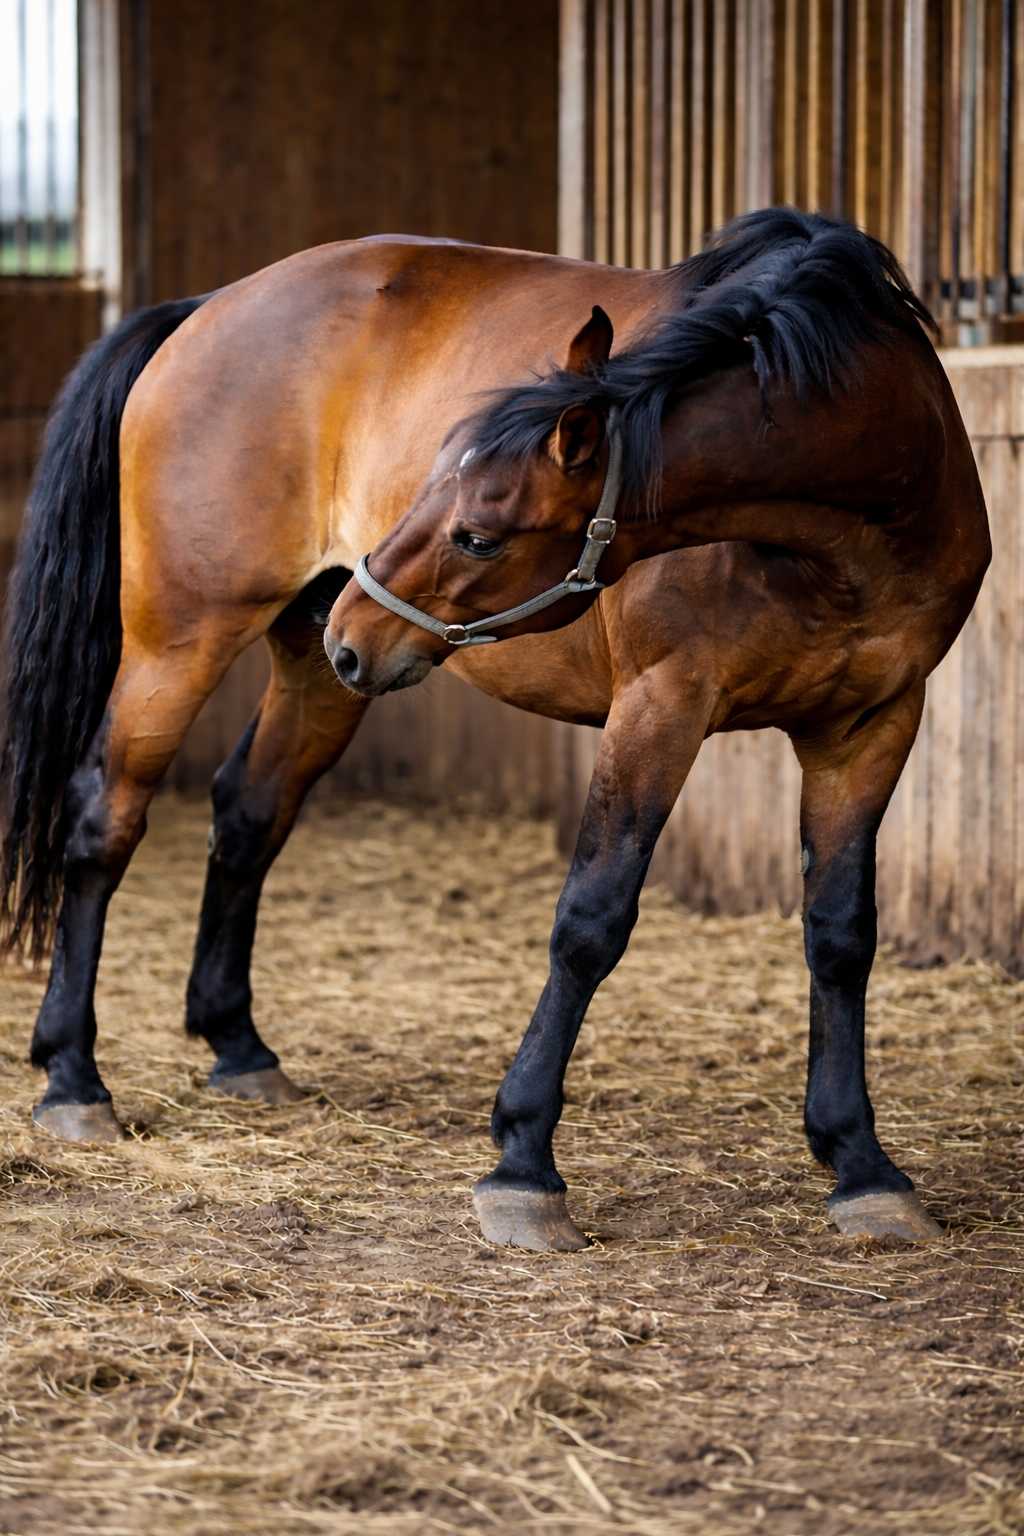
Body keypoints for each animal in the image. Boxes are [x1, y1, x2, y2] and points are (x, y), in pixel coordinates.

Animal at [1, 210, 989, 1254]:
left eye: (478, 532)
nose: (359, 622)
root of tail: (203, 310)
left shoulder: (872, 725)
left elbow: (840, 935)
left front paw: (862, 1164)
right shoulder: (661, 705)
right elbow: (590, 920)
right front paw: (523, 1161)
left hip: (319, 671)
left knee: (249, 811)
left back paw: (238, 1047)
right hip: (183, 641)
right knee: (104, 818)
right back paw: (72, 1078)